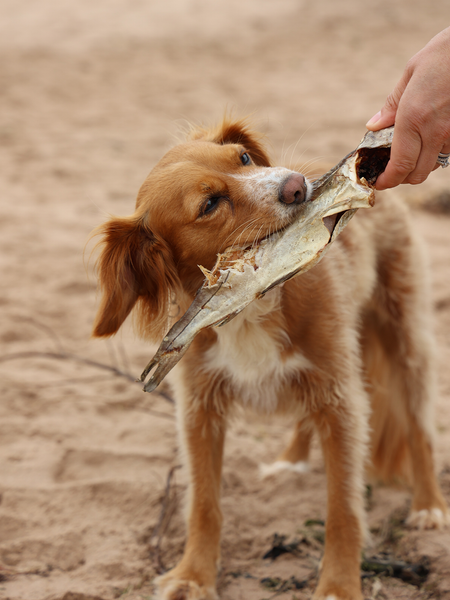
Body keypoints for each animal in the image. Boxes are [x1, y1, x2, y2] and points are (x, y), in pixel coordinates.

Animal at [90, 118, 446, 600]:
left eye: (242, 158)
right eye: (209, 204)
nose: (297, 186)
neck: (252, 302)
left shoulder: (341, 400)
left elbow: (343, 506)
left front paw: (338, 584)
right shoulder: (200, 410)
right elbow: (203, 503)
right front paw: (193, 574)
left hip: (404, 342)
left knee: (420, 431)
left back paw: (428, 505)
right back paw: (291, 460)